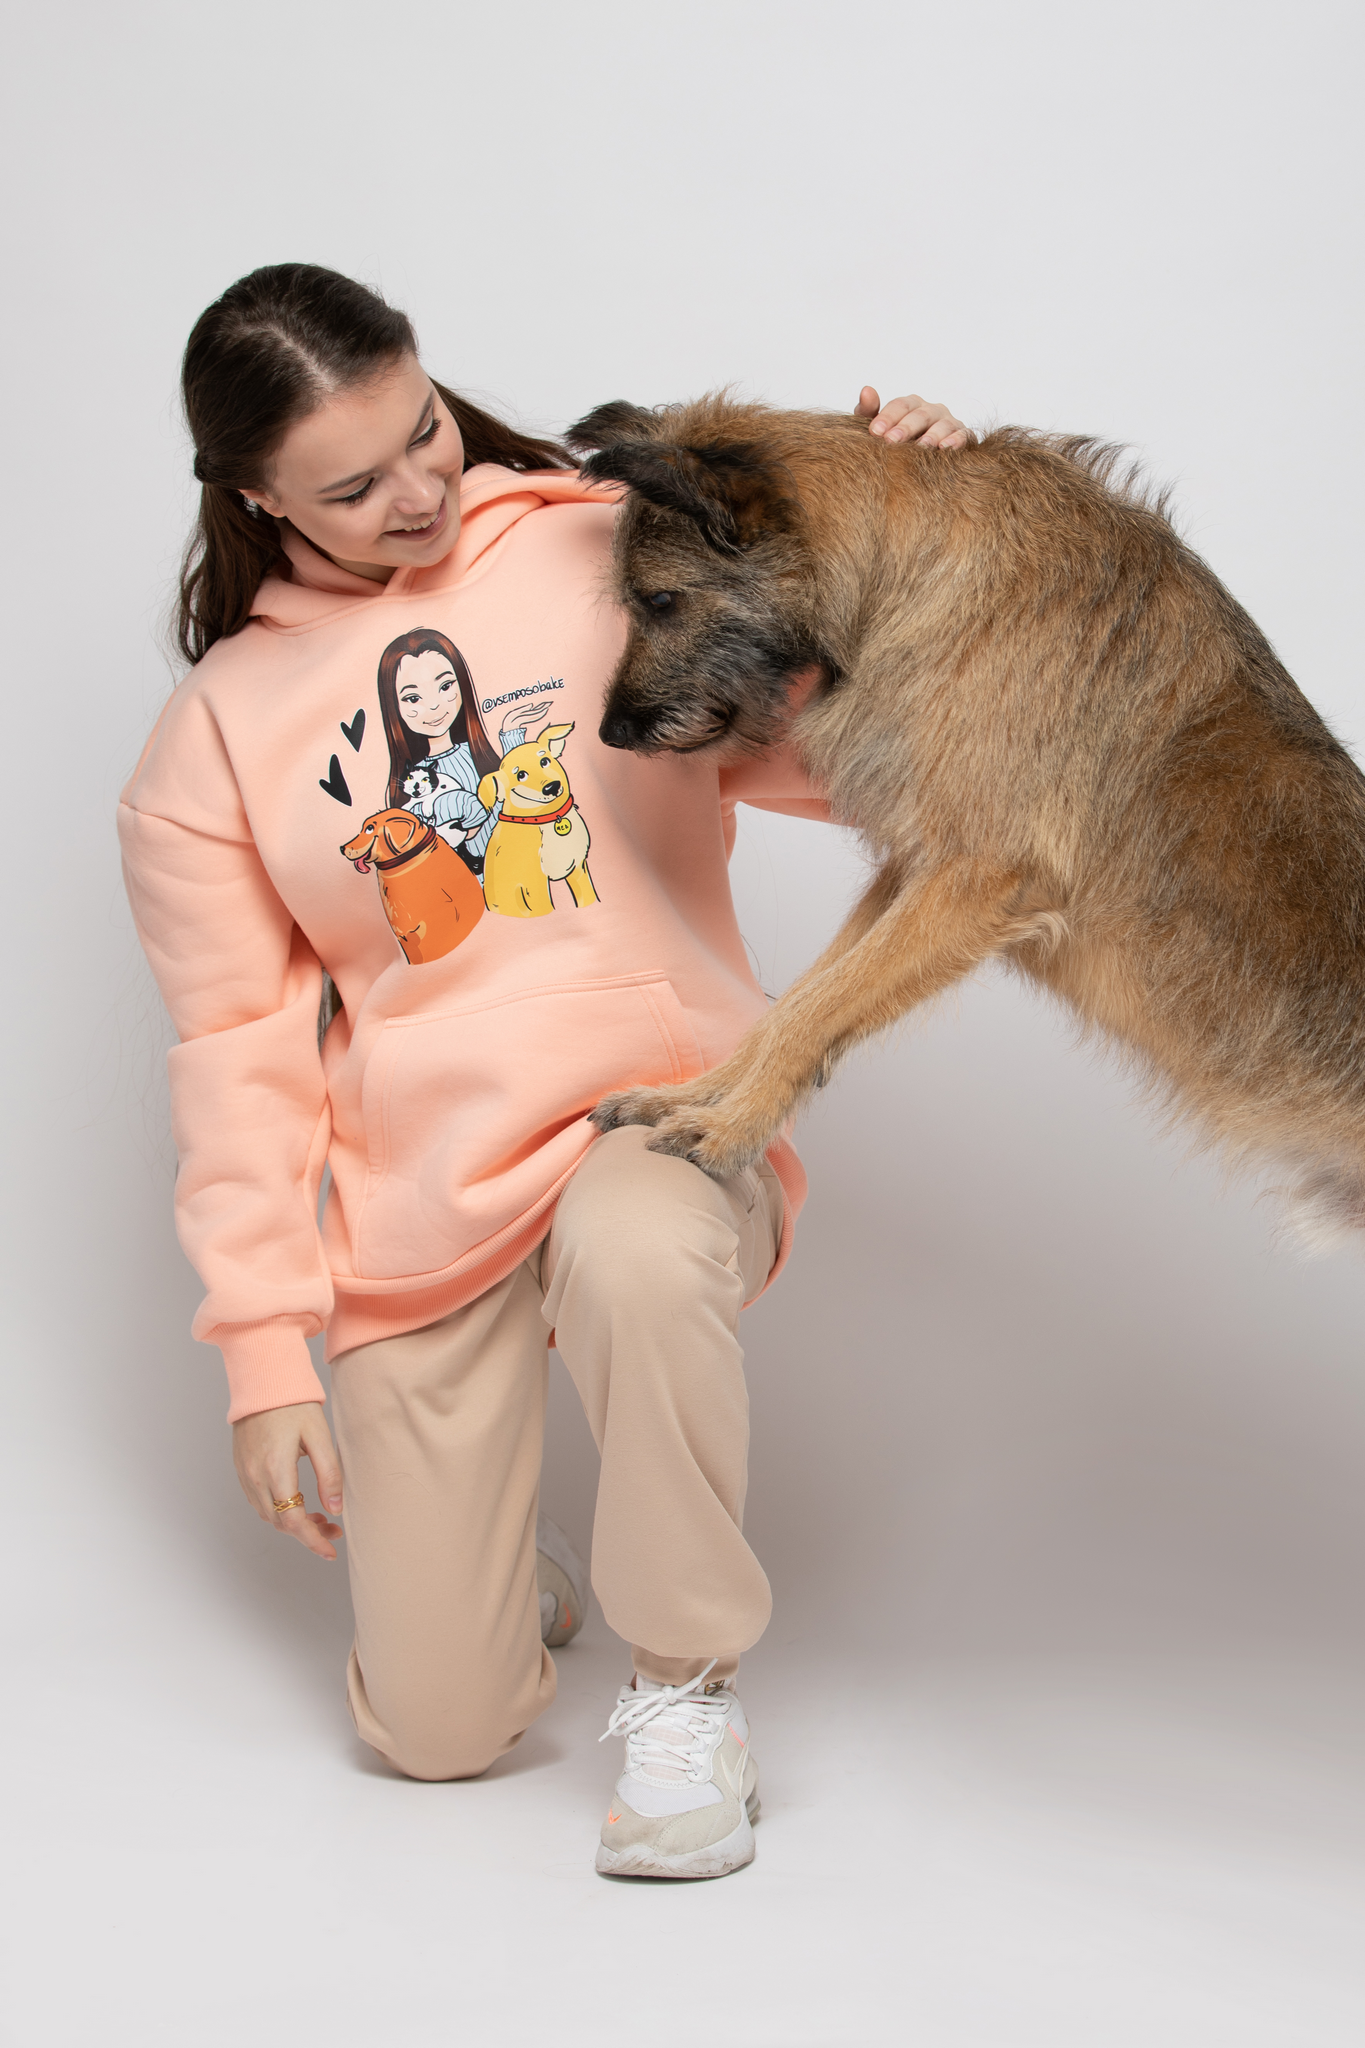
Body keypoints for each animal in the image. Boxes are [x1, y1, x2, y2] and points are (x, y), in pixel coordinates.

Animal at [477, 723, 599, 917]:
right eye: (521, 775)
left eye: (544, 761)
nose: (552, 787)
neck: (549, 818)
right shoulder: (533, 885)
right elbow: (546, 908)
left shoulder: (578, 869)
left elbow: (587, 897)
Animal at [568, 394, 1365, 1247]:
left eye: (659, 601)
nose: (610, 733)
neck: (902, 570)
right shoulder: (914, 872)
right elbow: (797, 1003)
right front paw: (700, 1097)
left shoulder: (974, 881)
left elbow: (814, 1009)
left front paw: (731, 1127)